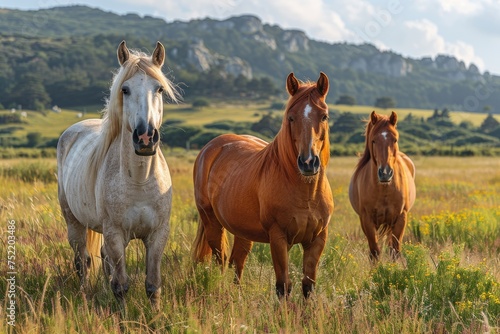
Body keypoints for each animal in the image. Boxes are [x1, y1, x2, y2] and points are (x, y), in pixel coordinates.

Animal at [57, 41, 180, 308]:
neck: (139, 180)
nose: (145, 138)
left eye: (159, 89)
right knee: (83, 261)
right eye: (125, 89)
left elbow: (153, 285)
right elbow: (122, 285)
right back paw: (84, 293)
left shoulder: (157, 235)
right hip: (74, 222)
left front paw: (156, 315)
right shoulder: (115, 234)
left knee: (103, 261)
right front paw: (122, 315)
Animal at [193, 72, 334, 298]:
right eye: (291, 117)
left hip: (242, 231)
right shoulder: (278, 238)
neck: (306, 193)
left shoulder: (317, 239)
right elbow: (283, 285)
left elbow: (308, 286)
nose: (308, 162)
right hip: (211, 222)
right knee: (220, 260)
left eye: (324, 116)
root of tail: (211, 147)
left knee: (237, 262)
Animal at [348, 111, 414, 260]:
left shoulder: (400, 218)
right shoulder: (367, 220)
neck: (384, 190)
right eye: (373, 140)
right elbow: (374, 252)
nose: (385, 173)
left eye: (395, 140)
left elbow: (394, 251)